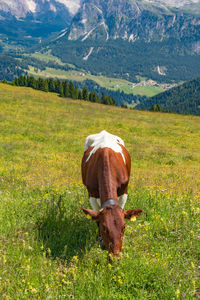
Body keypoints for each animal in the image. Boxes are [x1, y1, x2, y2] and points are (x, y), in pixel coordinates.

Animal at [81, 129, 142, 258]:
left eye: (124, 226)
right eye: (104, 227)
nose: (115, 256)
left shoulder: (124, 191)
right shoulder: (92, 195)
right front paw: (101, 241)